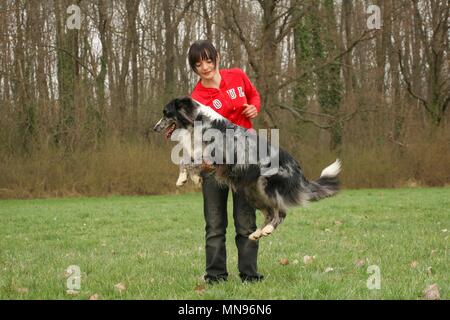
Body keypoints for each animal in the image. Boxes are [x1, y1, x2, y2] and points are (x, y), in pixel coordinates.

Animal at [155, 97, 342, 240]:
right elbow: (185, 160)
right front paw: (187, 178)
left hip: (267, 187)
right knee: (269, 213)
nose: (155, 127)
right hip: (252, 194)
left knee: (281, 212)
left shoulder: (217, 157)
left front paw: (187, 178)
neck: (198, 121)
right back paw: (257, 233)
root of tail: (297, 167)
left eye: (166, 113)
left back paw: (267, 229)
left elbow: (187, 162)